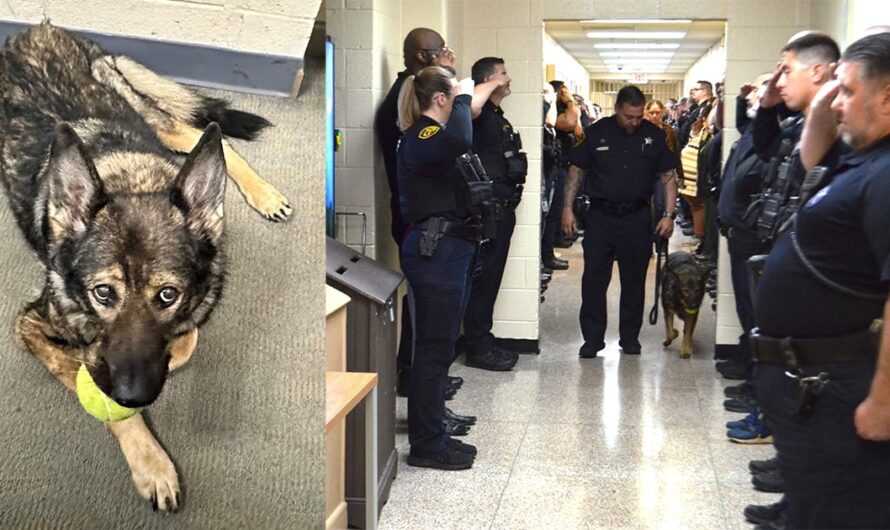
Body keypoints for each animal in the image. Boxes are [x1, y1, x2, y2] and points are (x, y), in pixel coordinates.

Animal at [0, 23, 290, 512]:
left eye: (167, 295)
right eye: (103, 293)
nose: (132, 392)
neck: (132, 183)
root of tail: (36, 30)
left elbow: (184, 341)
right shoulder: (31, 326)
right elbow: (92, 380)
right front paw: (151, 463)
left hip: (148, 118)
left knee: (203, 135)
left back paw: (264, 192)